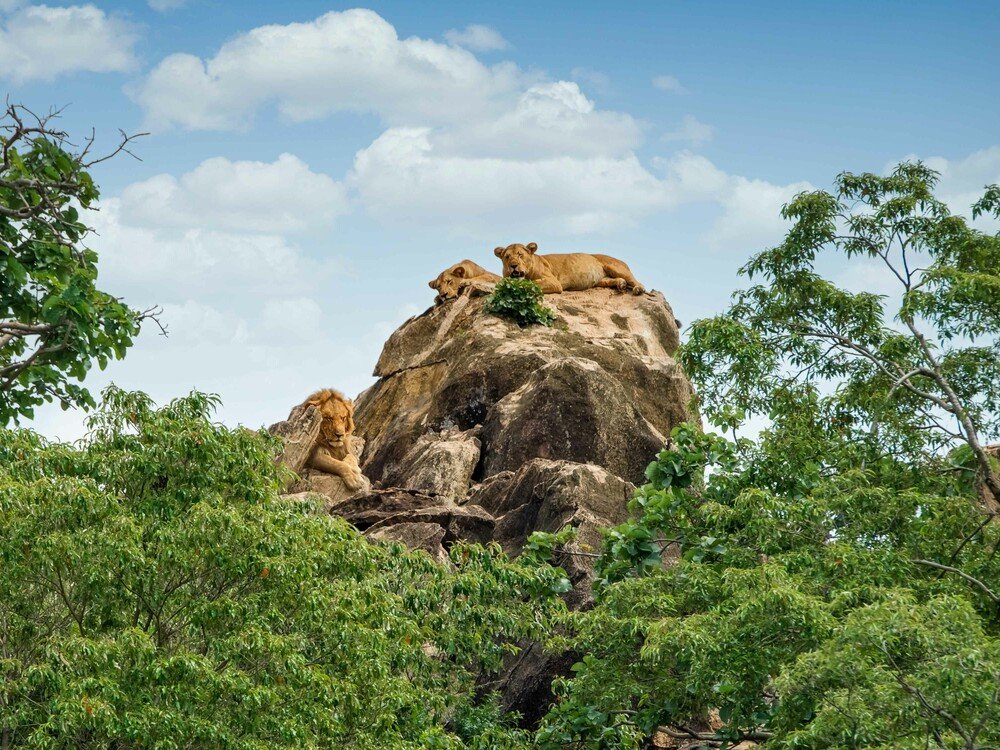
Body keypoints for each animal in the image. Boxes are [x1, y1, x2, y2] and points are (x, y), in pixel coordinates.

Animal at [494, 242, 645, 295]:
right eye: (507, 257)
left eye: (520, 255)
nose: (513, 265)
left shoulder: (554, 282)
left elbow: (530, 283)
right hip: (601, 280)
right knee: (611, 280)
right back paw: (621, 284)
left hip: (615, 266)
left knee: (637, 281)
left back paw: (638, 289)